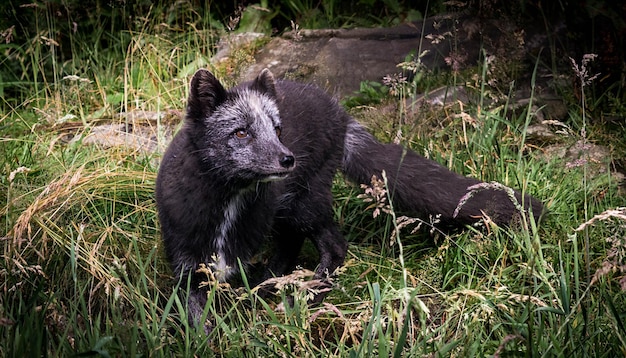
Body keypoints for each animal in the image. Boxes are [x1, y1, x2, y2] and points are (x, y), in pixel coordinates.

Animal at [155, 68, 540, 328]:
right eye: (240, 132)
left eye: (277, 130)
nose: (287, 159)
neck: (227, 206)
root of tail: (340, 112)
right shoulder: (186, 261)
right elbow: (195, 316)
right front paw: (206, 337)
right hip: (290, 210)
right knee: (291, 247)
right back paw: (272, 286)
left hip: (305, 204)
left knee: (335, 247)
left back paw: (307, 295)